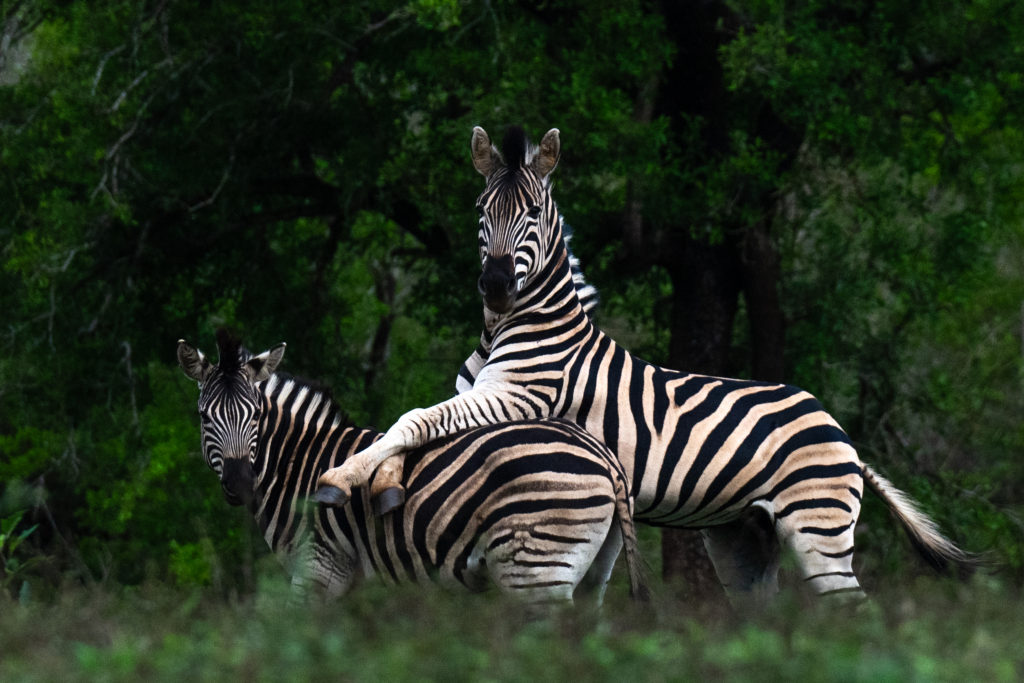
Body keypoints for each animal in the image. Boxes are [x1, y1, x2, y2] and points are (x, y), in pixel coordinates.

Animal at [176, 333, 647, 606]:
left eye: (255, 415)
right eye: (203, 417)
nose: (240, 484)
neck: (300, 462)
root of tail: (603, 455)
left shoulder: (319, 567)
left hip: (537, 571)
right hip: (588, 573)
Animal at [315, 125, 978, 602]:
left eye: (533, 213)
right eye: (483, 211)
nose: (497, 285)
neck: (511, 325)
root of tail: (842, 432)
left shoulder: (515, 399)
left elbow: (414, 419)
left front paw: (343, 476)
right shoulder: (477, 397)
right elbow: (412, 426)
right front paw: (383, 480)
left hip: (817, 526)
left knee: (850, 609)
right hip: (745, 536)